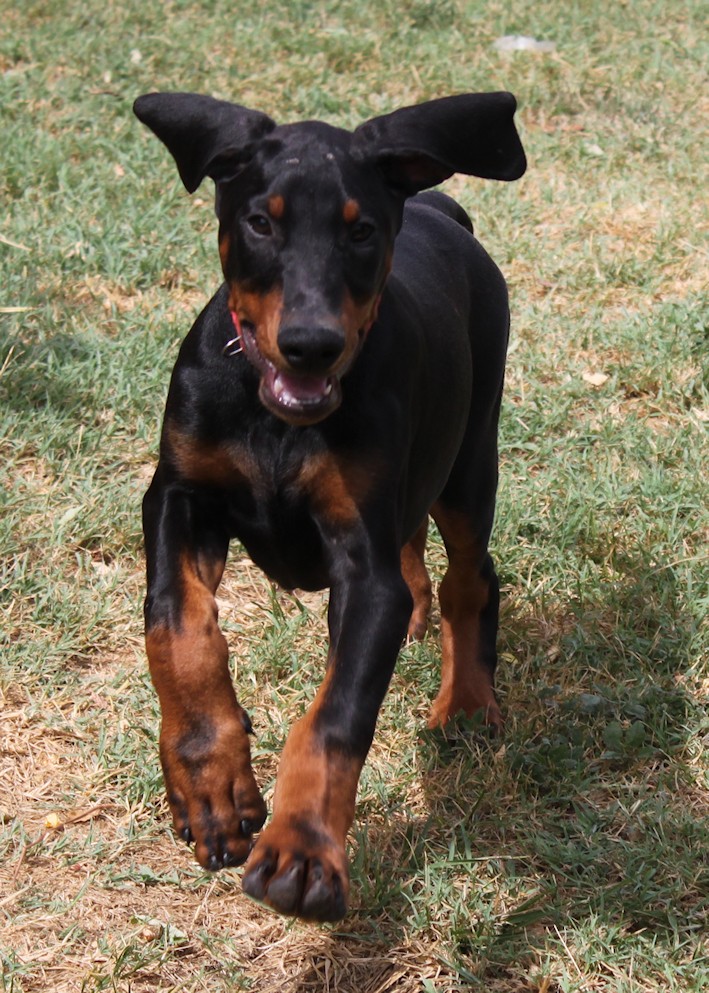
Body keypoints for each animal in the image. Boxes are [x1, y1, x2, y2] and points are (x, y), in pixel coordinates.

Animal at [133, 89, 524, 920]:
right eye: (260, 221)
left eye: (361, 228)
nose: (310, 344)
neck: (276, 417)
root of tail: (440, 207)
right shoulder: (178, 494)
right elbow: (176, 626)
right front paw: (210, 785)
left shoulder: (362, 566)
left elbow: (336, 714)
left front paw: (301, 847)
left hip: (470, 455)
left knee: (469, 574)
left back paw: (466, 701)